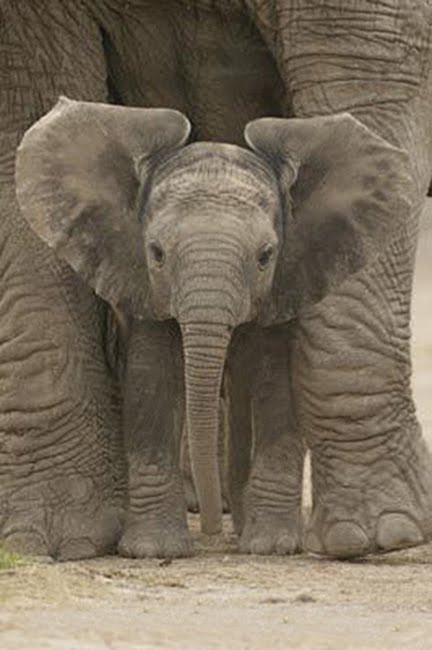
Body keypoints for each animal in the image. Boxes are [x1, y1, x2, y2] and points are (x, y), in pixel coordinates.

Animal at [2, 0, 432, 560]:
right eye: (156, 253)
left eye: (267, 255)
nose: (207, 533)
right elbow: (24, 114)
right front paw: (54, 541)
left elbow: (364, 76)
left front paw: (379, 535)